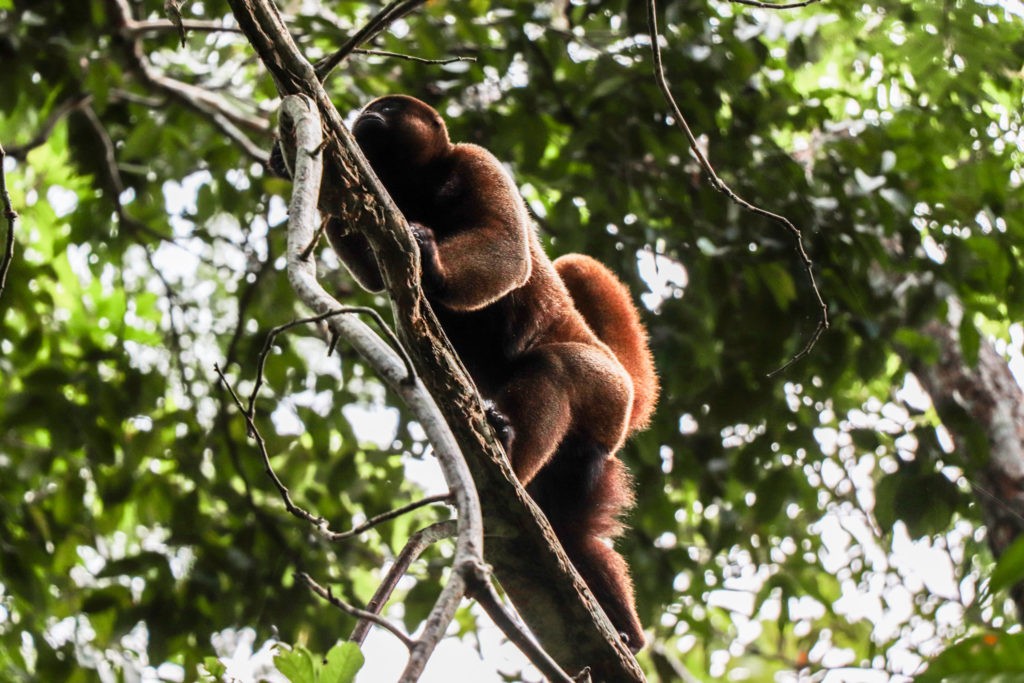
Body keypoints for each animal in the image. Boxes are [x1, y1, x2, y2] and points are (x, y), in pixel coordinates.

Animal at [299, 94, 659, 651]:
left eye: (388, 107)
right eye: (369, 109)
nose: (366, 115)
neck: (419, 184)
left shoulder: (476, 160)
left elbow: (507, 249)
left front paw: (431, 259)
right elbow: (374, 274)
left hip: (607, 391)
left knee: (554, 369)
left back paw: (509, 454)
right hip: (591, 460)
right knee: (576, 533)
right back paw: (623, 629)